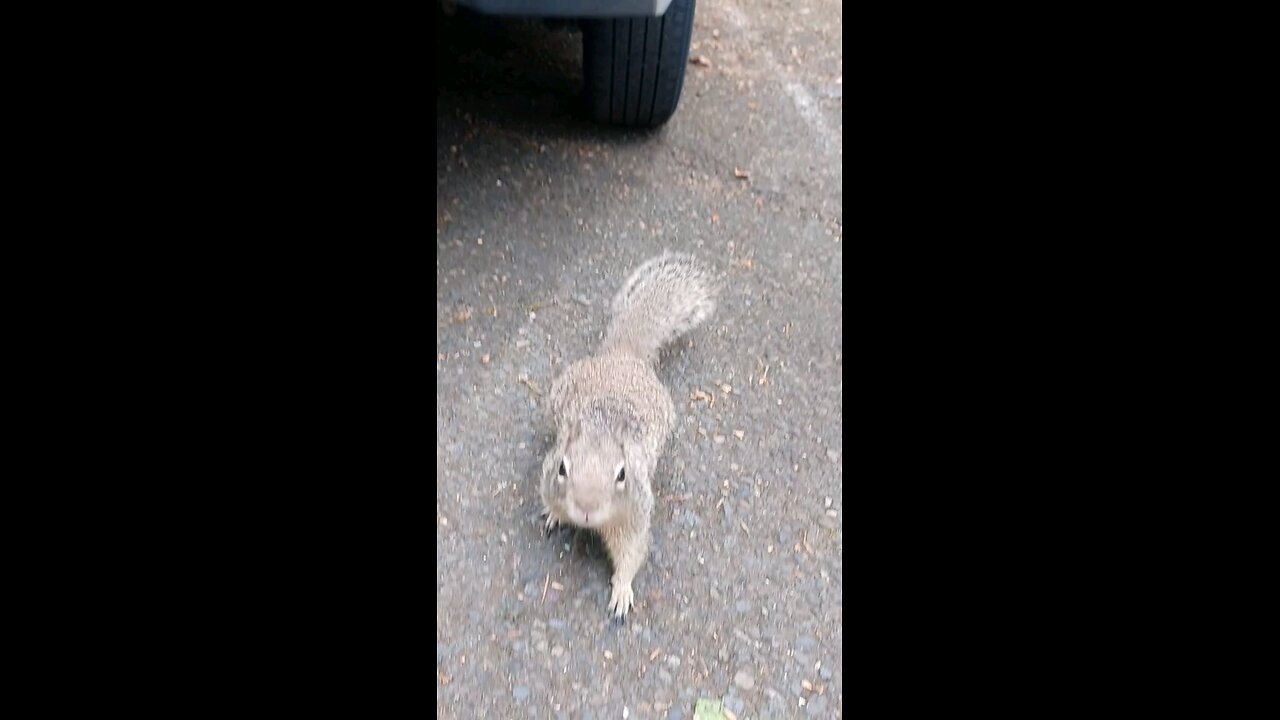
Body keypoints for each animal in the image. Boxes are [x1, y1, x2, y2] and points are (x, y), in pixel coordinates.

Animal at [540, 251, 721, 617]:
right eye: (563, 467)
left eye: (622, 474)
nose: (586, 508)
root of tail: (623, 355)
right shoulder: (548, 475)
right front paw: (554, 513)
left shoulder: (636, 512)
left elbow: (632, 551)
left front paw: (622, 591)